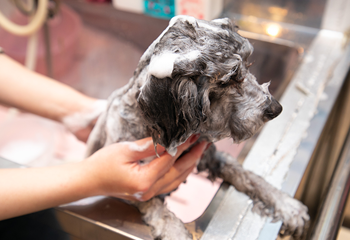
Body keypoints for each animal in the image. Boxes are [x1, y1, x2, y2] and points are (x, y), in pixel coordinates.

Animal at [85, 15, 308, 240]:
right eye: (228, 80)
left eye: (248, 63)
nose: (276, 108)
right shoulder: (134, 187)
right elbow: (155, 207)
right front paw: (175, 230)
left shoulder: (210, 155)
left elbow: (247, 176)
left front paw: (286, 204)